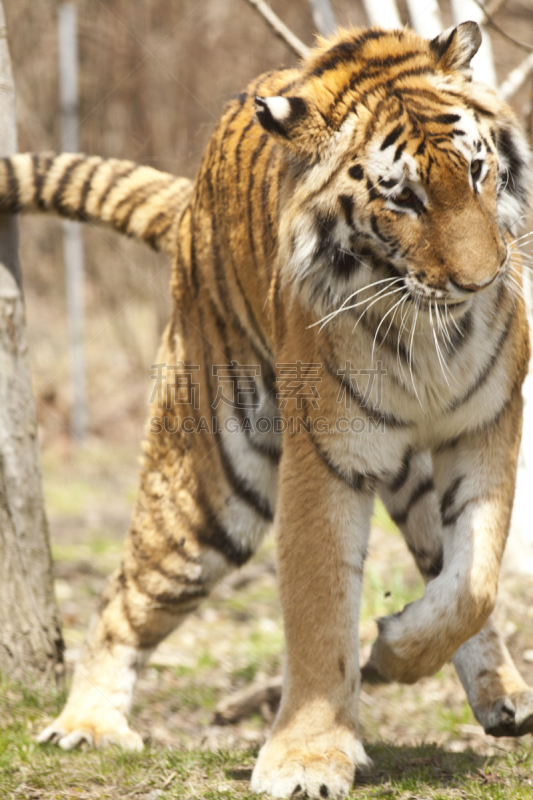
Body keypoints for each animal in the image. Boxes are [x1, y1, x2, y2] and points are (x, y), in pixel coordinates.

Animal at [1, 20, 532, 800]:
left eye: (474, 171)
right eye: (402, 198)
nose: (482, 280)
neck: (427, 332)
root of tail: (189, 206)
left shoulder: (483, 426)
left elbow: (473, 581)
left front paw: (394, 650)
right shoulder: (325, 458)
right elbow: (318, 610)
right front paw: (308, 756)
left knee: (447, 571)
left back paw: (503, 694)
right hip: (208, 499)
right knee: (121, 596)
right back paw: (87, 724)